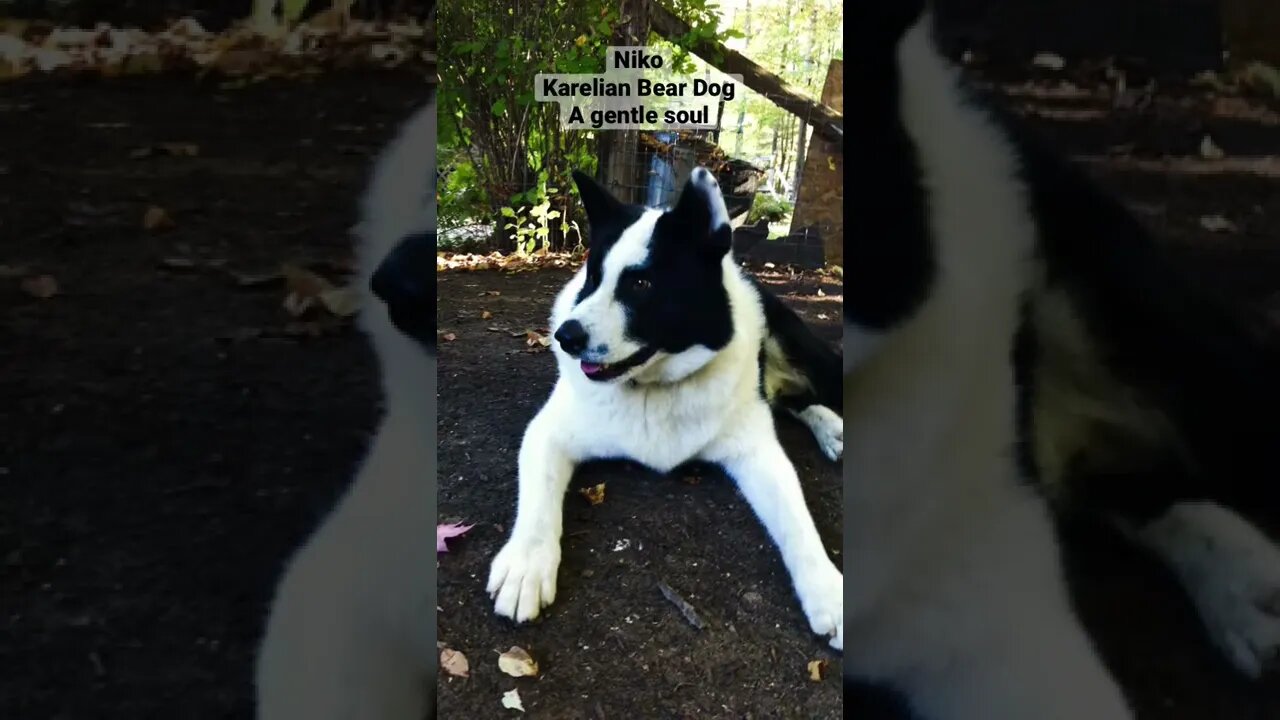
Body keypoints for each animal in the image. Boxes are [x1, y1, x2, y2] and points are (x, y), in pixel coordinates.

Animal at [483, 165, 844, 648]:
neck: (652, 387)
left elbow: (797, 521)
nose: (566, 337)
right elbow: (539, 501)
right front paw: (526, 566)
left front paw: (829, 592)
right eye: (592, 279)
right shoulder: (548, 432)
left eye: (641, 284)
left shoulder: (758, 452)